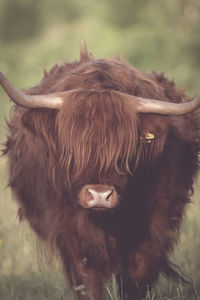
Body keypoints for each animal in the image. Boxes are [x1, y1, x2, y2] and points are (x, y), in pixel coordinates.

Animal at [0, 45, 200, 300]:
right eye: (72, 151)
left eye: (125, 152)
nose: (99, 196)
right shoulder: (69, 232)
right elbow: (87, 281)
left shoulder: (154, 227)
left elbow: (136, 279)